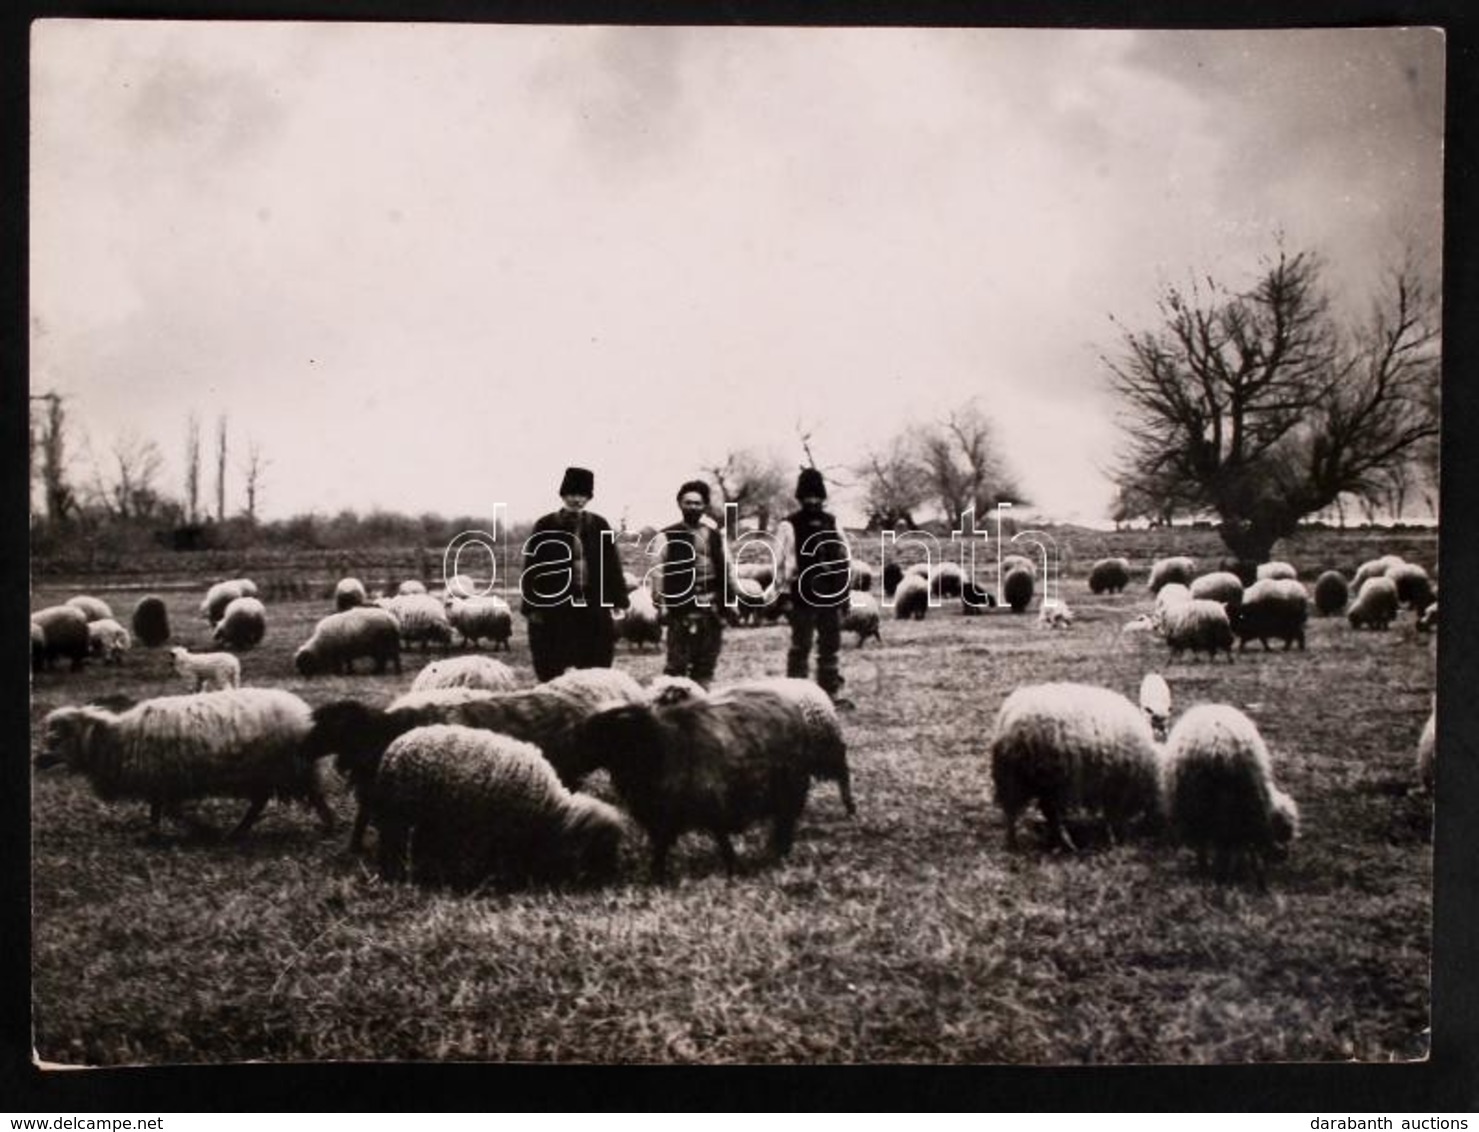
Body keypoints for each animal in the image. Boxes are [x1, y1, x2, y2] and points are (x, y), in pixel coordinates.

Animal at [34, 683, 335, 834]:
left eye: (56, 739)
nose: (37, 760)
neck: (118, 739)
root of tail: (304, 713)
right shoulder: (161, 782)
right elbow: (160, 809)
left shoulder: (160, 779)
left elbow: (161, 809)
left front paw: (164, 830)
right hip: (269, 772)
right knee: (261, 802)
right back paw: (238, 830)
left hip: (289, 768)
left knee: (312, 797)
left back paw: (328, 826)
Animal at [372, 725, 627, 893]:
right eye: (595, 851)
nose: (611, 882)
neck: (550, 811)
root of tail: (396, 746)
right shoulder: (500, 832)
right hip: (400, 817)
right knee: (393, 847)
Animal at [993, 680, 1165, 846]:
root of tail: (1010, 716)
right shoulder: (1117, 783)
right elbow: (1114, 813)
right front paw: (1116, 837)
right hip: (1051, 778)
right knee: (1043, 811)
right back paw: (1062, 842)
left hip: (1018, 776)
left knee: (1017, 810)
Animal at [1159, 707, 1301, 881]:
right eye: (1285, 830)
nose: (1284, 855)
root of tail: (1216, 744)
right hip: (1227, 799)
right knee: (1222, 840)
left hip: (1194, 798)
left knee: (1202, 839)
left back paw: (1204, 869)